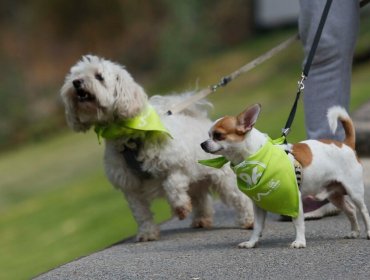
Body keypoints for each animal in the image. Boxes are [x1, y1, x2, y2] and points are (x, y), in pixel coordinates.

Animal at [60, 54, 253, 241]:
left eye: (99, 76)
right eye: (75, 76)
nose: (76, 83)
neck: (129, 136)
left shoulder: (177, 166)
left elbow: (172, 185)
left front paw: (180, 208)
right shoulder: (130, 186)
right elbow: (140, 213)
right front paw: (147, 233)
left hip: (222, 178)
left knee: (238, 197)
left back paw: (248, 220)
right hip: (197, 181)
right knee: (201, 198)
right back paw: (201, 219)